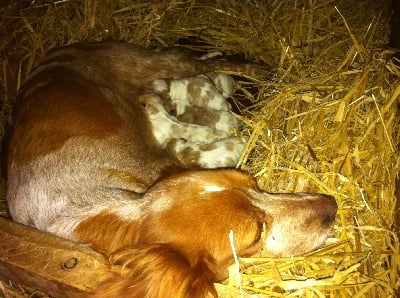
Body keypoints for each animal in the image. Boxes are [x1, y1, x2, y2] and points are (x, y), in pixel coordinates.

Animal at [4, 41, 336, 296]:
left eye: (253, 183)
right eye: (258, 233)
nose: (331, 205)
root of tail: (54, 53)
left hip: (152, 62)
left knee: (201, 60)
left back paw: (260, 70)